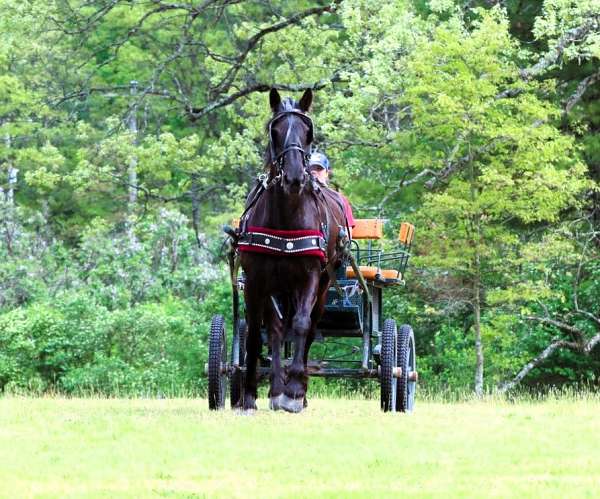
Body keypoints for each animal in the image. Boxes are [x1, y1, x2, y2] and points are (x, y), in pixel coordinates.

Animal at [237, 90, 344, 414]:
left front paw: (295, 391)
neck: (286, 215)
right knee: (274, 330)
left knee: (307, 328)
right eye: (275, 130)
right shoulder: (256, 280)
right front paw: (249, 396)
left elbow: (301, 325)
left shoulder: (309, 277)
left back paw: (297, 390)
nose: (295, 177)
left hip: (320, 287)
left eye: (308, 132)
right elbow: (256, 335)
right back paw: (275, 390)